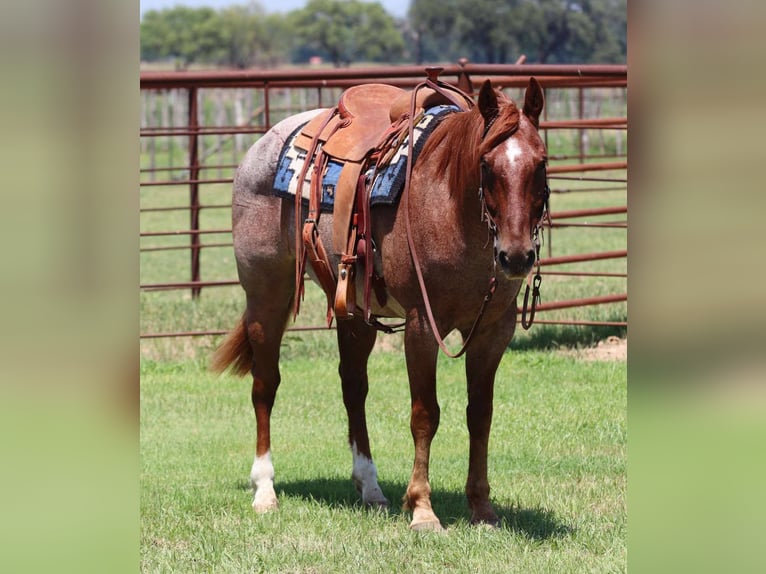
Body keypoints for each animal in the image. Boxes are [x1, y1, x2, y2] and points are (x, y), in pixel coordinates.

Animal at [211, 77, 549, 531]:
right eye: (486, 164)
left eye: (540, 164)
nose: (516, 256)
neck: (449, 206)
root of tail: (260, 146)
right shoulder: (423, 326)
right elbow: (425, 414)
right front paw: (422, 509)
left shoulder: (494, 331)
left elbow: (480, 414)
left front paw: (482, 508)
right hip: (266, 295)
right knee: (265, 386)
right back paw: (265, 490)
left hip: (354, 312)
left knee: (353, 387)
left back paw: (370, 488)